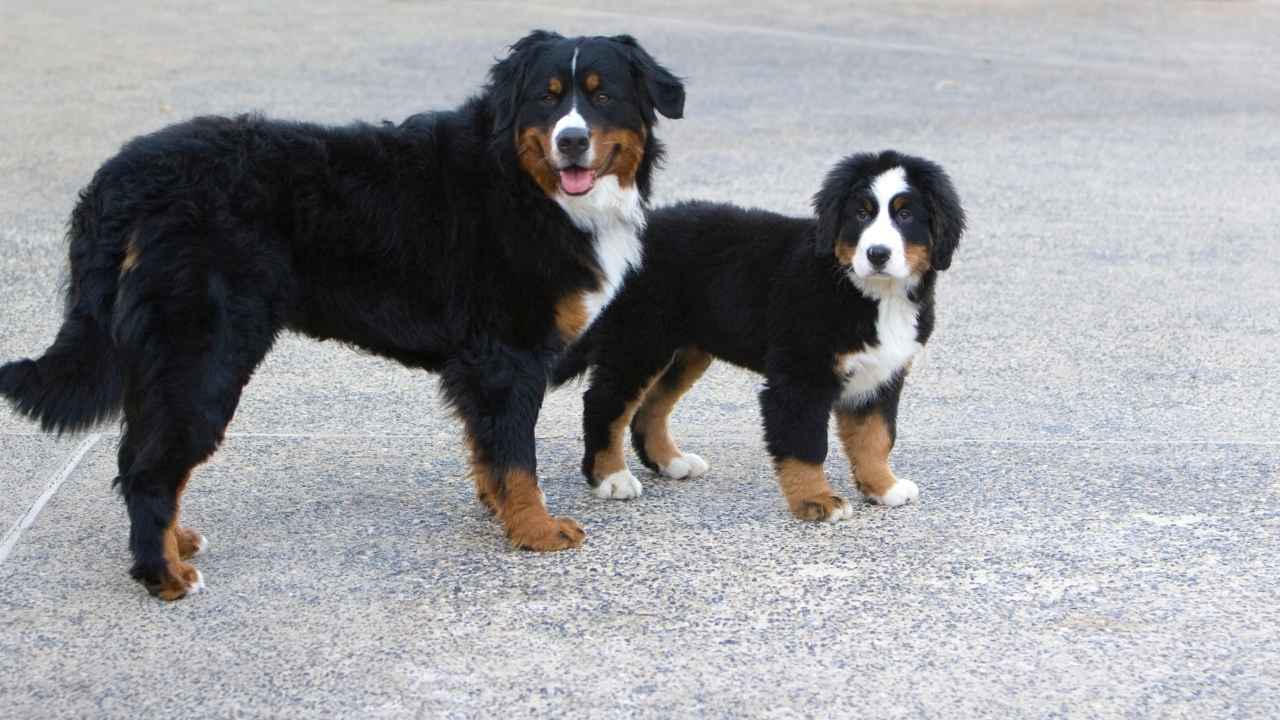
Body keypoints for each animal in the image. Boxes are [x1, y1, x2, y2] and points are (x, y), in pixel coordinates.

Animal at [555, 151, 962, 517]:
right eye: (861, 213)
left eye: (905, 214)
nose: (877, 254)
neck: (868, 292)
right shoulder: (800, 378)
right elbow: (805, 444)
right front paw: (816, 501)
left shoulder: (881, 376)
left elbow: (876, 437)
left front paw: (883, 487)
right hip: (640, 339)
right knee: (605, 402)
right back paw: (611, 478)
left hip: (684, 350)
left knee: (651, 406)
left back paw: (671, 462)